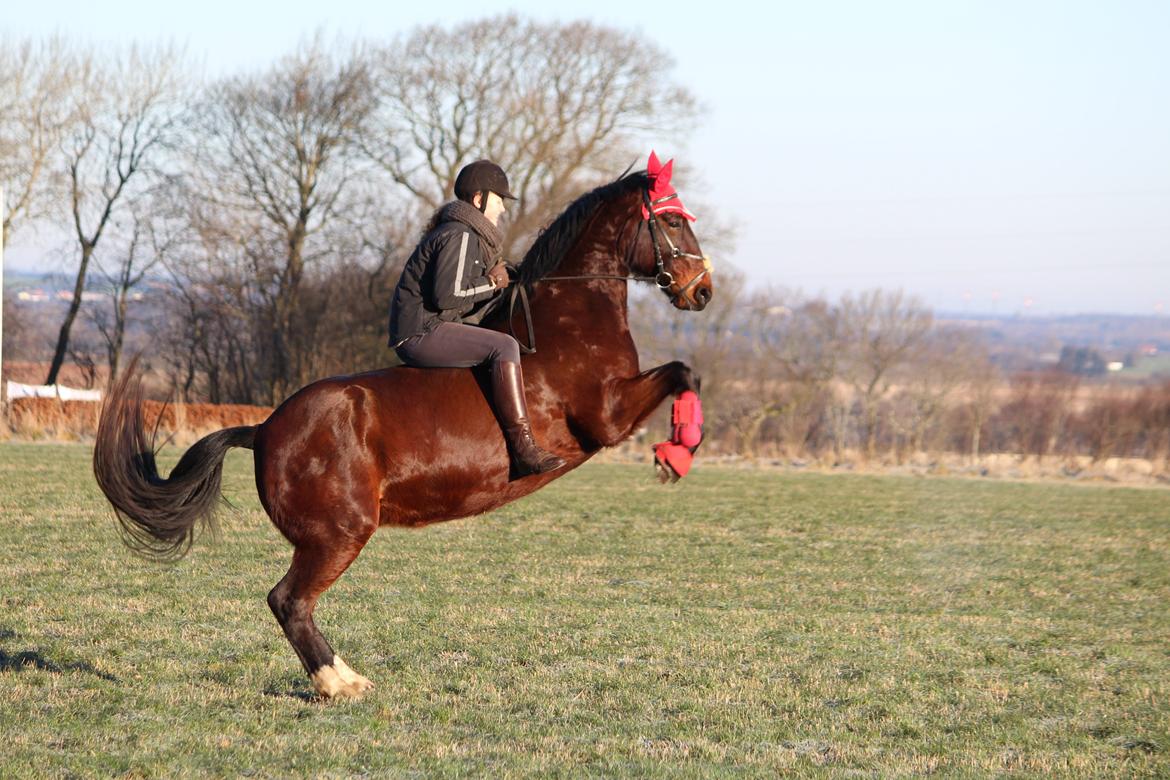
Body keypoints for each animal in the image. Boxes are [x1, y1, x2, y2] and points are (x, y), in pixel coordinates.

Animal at [93, 159, 711, 701]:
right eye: (672, 222)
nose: (702, 291)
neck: (571, 313)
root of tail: (265, 428)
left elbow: (686, 372)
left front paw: (676, 451)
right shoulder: (607, 415)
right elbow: (685, 371)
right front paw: (676, 452)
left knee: (291, 603)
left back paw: (346, 677)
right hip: (339, 532)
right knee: (287, 601)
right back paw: (338, 684)